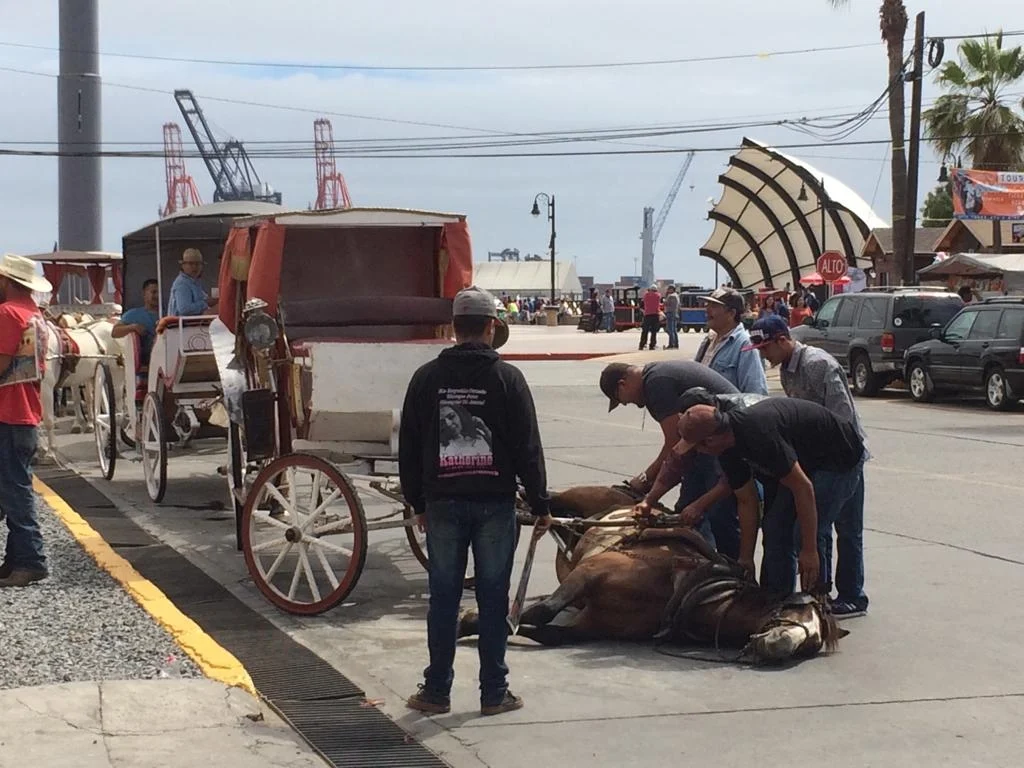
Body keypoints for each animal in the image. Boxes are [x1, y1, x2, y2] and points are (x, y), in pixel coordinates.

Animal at [460, 487, 843, 667]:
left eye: (811, 644)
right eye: (793, 611)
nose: (780, 647)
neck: (684, 587)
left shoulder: (587, 623)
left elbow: (544, 629)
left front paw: (473, 620)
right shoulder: (589, 573)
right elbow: (540, 611)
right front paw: (471, 621)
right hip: (580, 496)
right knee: (547, 497)